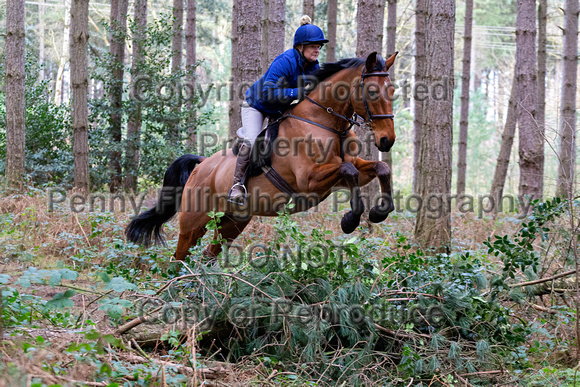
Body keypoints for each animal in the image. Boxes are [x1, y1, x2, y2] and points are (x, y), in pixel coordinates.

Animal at [125, 51, 398, 260]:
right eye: (372, 92)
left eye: (392, 90)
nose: (387, 140)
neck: (325, 121)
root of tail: (201, 165)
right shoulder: (309, 180)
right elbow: (348, 171)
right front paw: (350, 220)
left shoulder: (349, 171)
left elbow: (379, 169)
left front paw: (379, 212)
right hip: (193, 222)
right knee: (178, 258)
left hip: (232, 222)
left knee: (208, 255)